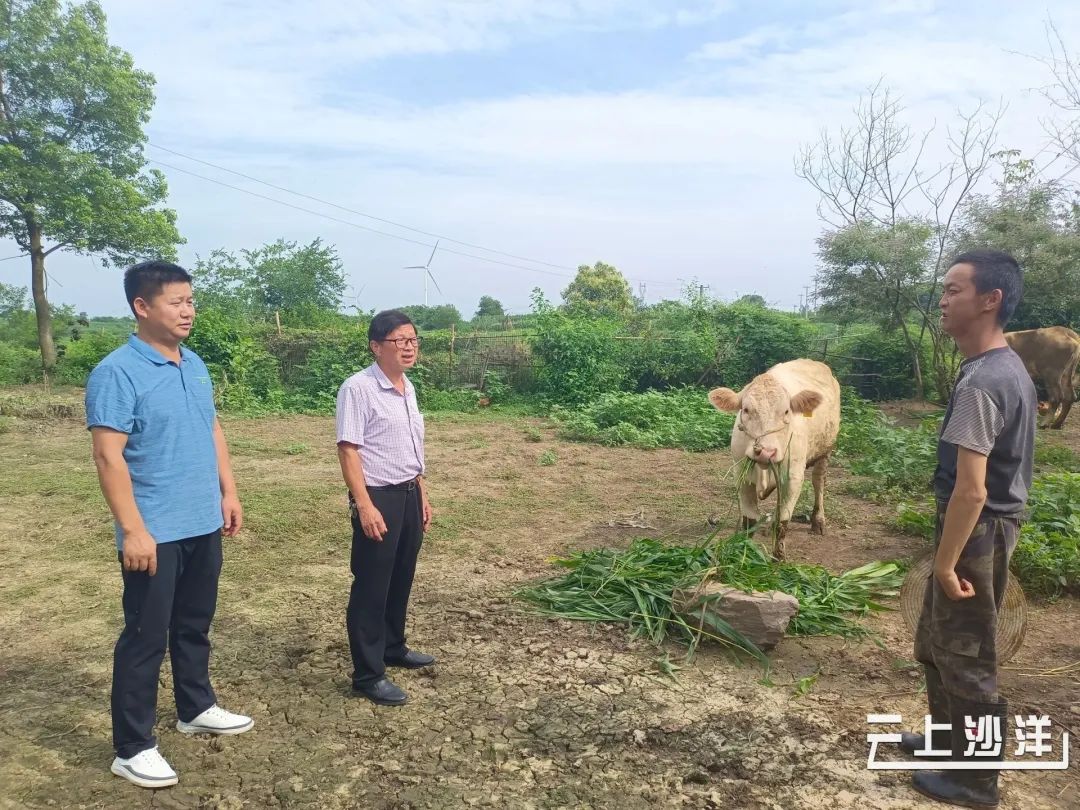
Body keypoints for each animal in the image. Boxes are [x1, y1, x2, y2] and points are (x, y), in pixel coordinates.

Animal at [708, 358, 842, 561]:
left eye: (786, 411)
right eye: (746, 410)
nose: (766, 452)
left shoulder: (793, 478)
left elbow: (782, 521)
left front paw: (778, 558)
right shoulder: (742, 476)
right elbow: (750, 521)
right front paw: (743, 551)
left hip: (826, 450)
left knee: (818, 482)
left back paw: (818, 521)